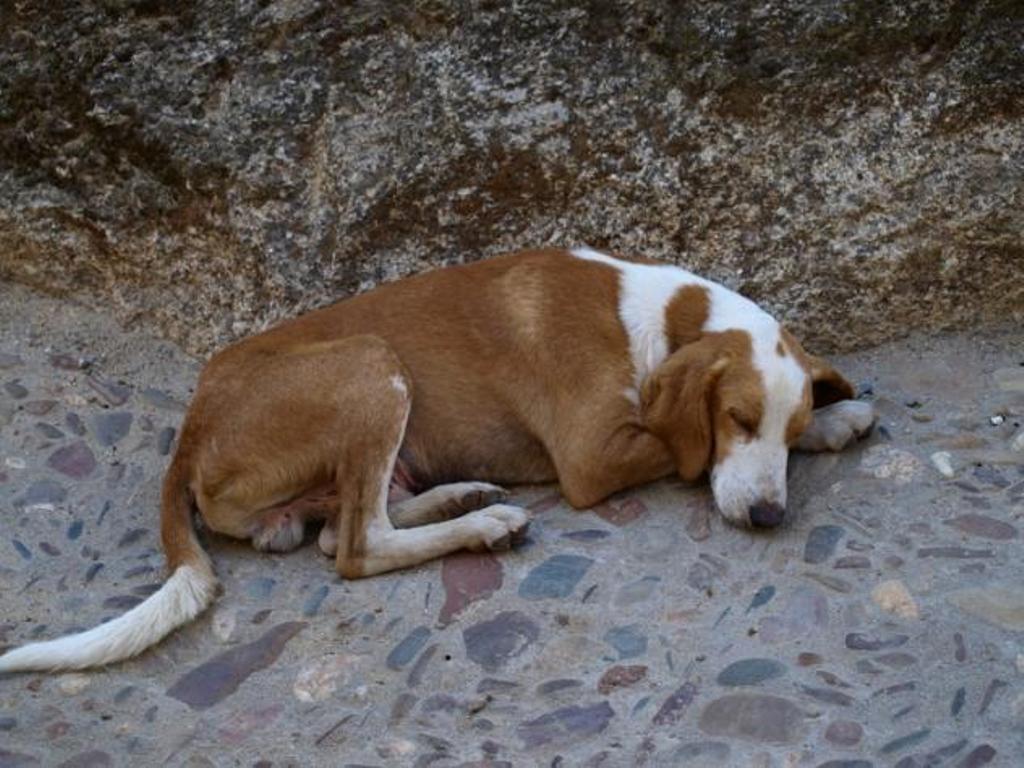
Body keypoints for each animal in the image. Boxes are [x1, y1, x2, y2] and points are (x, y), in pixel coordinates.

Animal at [0, 247, 872, 671]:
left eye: (784, 431)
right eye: (736, 418)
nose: (769, 517)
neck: (660, 318)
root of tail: (189, 432)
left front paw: (839, 417)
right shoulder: (594, 456)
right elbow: (679, 455)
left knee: (340, 525)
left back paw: (460, 496)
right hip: (370, 362)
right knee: (355, 547)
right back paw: (483, 523)